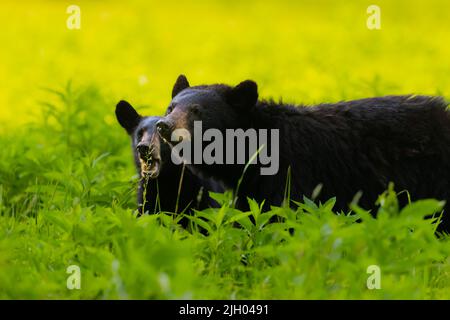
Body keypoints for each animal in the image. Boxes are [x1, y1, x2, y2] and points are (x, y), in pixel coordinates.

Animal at [155, 74, 450, 230]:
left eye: (197, 112)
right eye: (171, 107)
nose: (163, 125)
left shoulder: (294, 173)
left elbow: (287, 217)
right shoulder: (252, 187)